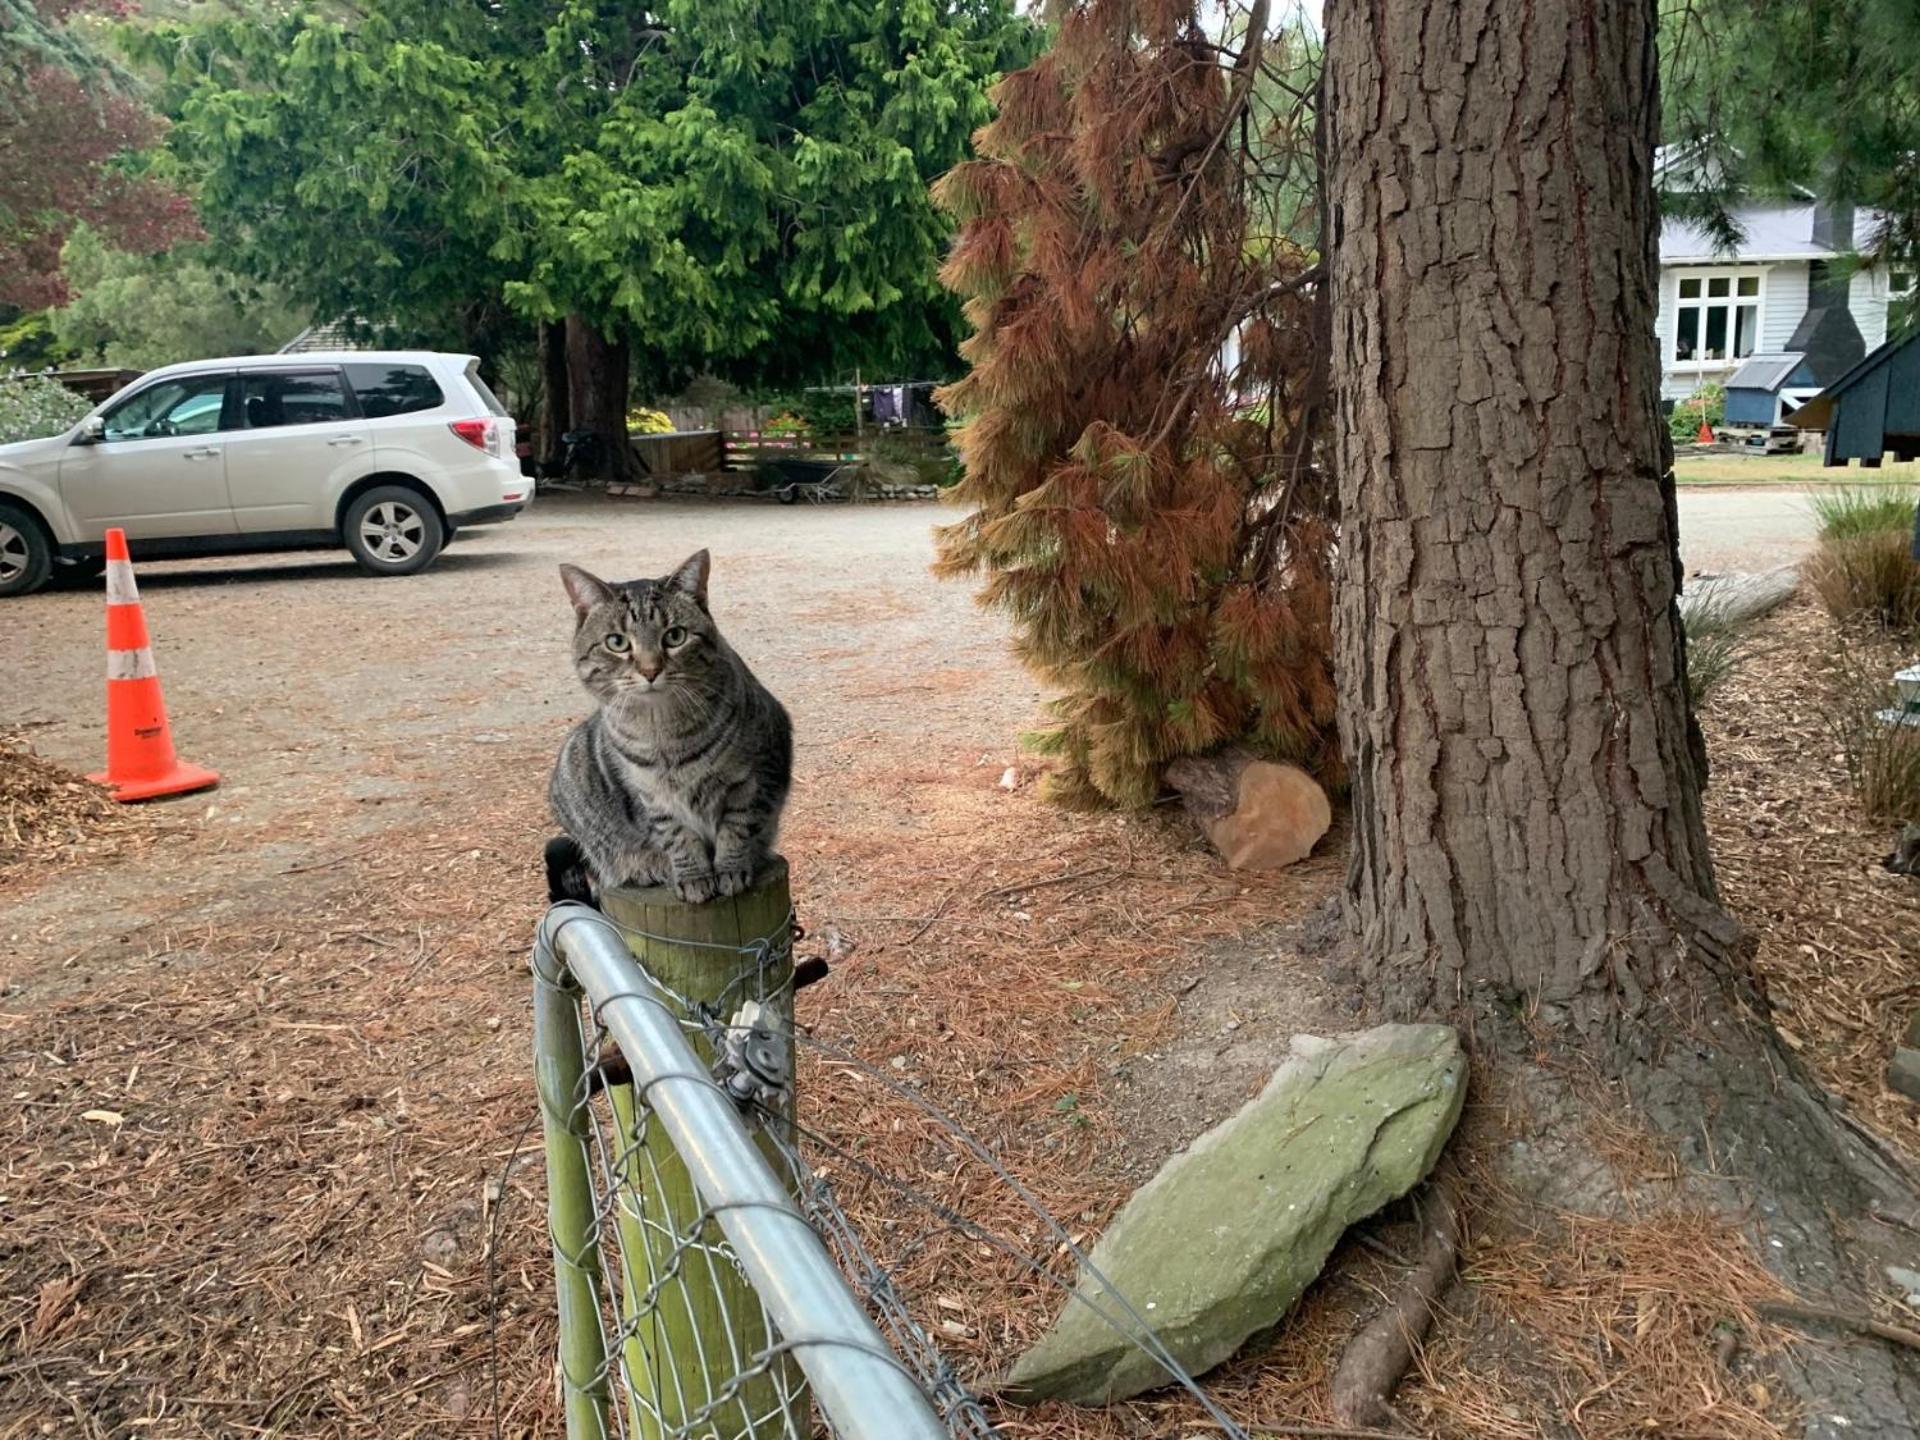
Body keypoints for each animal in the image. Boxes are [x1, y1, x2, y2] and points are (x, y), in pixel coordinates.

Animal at [552, 552, 791, 902]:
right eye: (617, 642)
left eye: (675, 636)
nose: (650, 670)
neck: (663, 732)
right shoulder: (652, 797)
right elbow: (677, 838)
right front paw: (693, 876)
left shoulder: (754, 776)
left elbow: (737, 826)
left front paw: (730, 869)